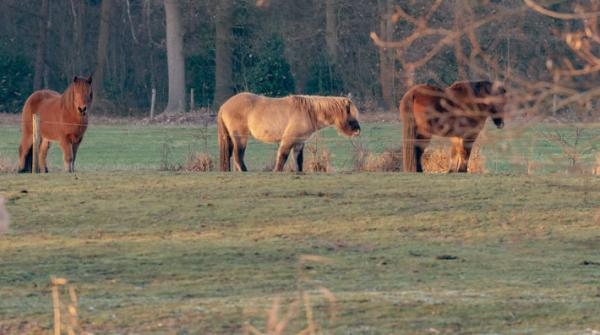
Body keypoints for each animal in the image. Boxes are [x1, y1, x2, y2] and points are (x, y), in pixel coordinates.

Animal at [219, 92, 360, 173]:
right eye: (351, 116)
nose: (358, 131)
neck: (309, 111)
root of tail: (223, 106)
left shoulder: (299, 142)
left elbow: (298, 160)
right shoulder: (288, 140)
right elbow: (282, 157)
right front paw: (277, 171)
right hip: (240, 138)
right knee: (237, 155)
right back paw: (244, 171)